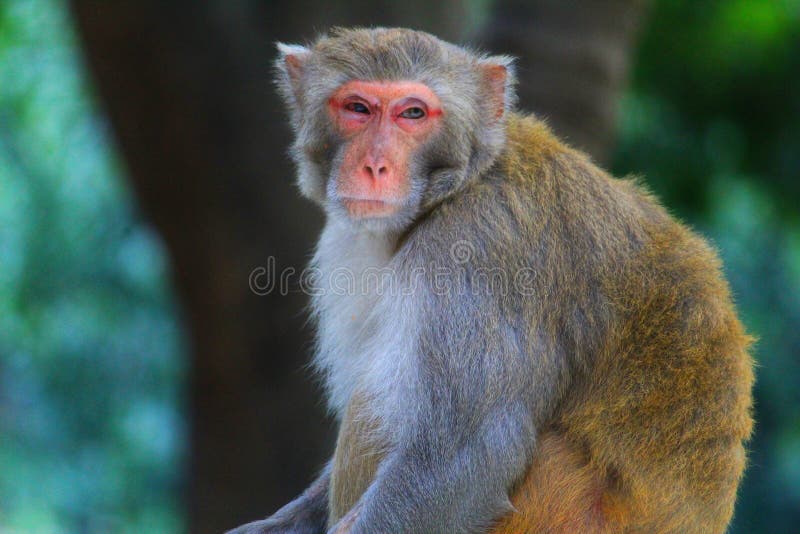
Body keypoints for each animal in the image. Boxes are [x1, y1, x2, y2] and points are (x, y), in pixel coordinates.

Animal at [228, 29, 752, 534]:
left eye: (412, 113)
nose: (374, 167)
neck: (455, 188)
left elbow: (461, 460)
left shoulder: (476, 252)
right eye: (357, 108)